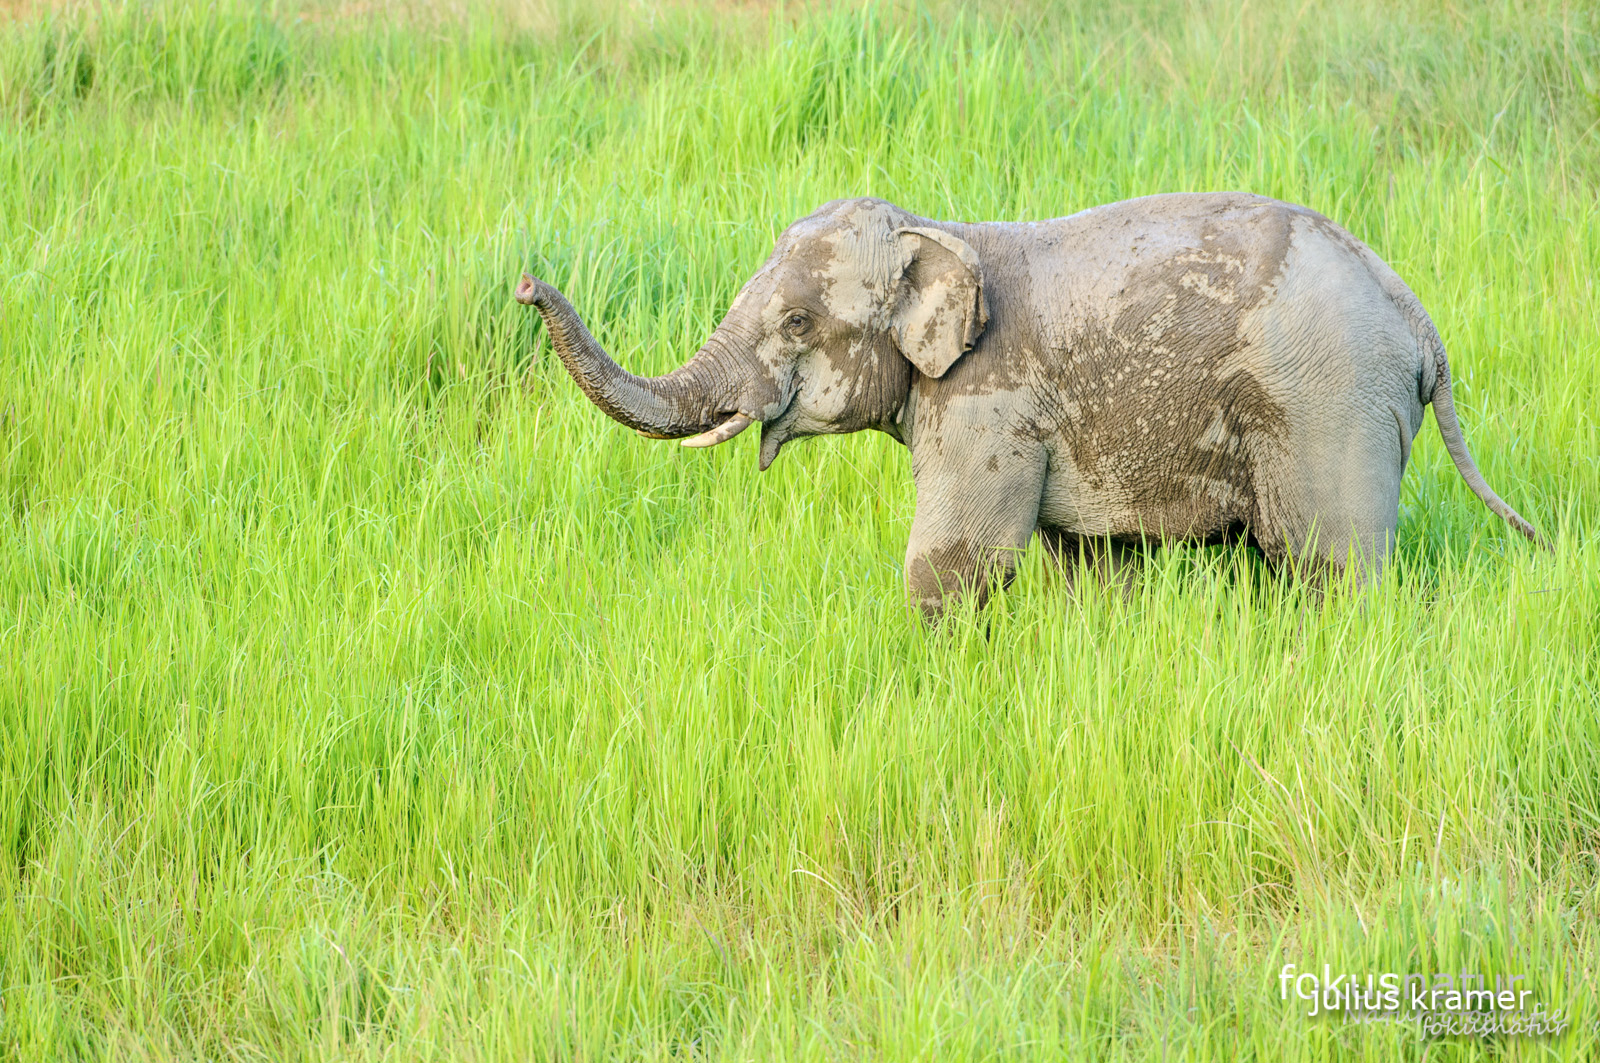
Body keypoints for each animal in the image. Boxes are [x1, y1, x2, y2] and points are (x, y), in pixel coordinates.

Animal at [512, 195, 1536, 617]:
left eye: (798, 320)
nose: (524, 284)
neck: (940, 229)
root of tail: (1417, 318)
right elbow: (1094, 568)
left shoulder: (985, 403)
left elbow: (957, 564)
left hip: (1330, 403)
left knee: (1331, 564)